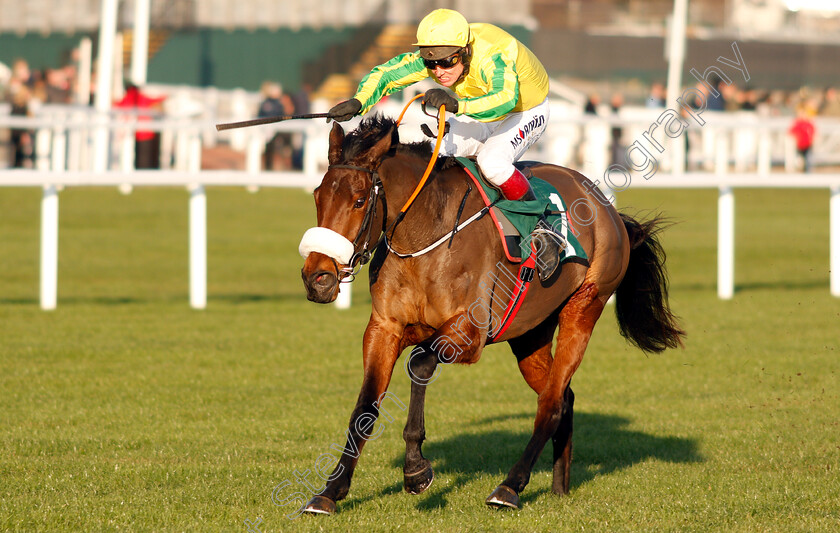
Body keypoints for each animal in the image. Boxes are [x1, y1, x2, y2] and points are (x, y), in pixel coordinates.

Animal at [298, 114, 684, 512]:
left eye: (360, 200)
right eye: (317, 195)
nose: (317, 277)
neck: (425, 236)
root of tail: (607, 208)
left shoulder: (469, 333)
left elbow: (420, 362)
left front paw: (416, 469)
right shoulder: (385, 328)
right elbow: (366, 406)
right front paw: (330, 491)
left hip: (584, 308)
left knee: (551, 403)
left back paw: (510, 487)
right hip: (530, 334)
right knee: (564, 397)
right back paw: (559, 486)